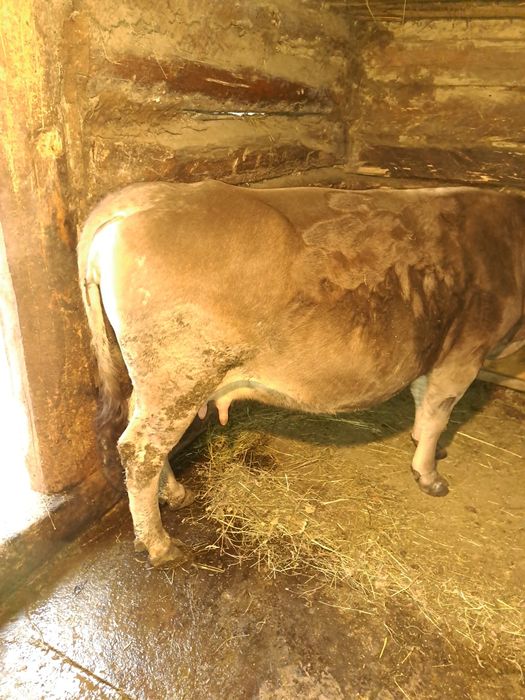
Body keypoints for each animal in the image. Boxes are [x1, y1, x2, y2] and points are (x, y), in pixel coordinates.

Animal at [78, 181, 525, 566]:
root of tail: (145, 195)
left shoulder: (434, 351)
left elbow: (422, 401)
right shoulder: (465, 352)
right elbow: (437, 414)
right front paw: (429, 474)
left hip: (159, 383)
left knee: (141, 427)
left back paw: (173, 493)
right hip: (179, 377)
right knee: (140, 450)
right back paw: (159, 544)